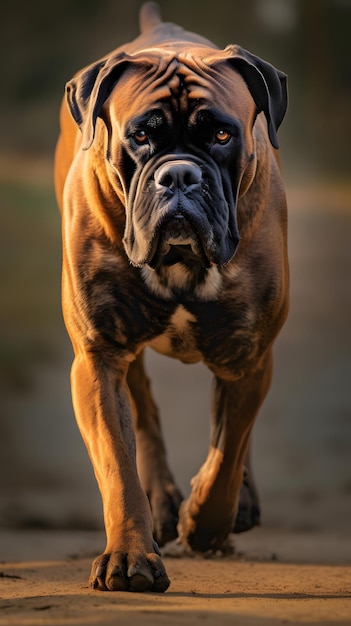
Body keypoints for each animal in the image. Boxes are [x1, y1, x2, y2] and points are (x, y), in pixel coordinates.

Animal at [55, 2, 290, 588]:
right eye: (141, 135)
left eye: (223, 136)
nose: (179, 174)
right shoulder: (98, 357)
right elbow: (118, 463)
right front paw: (130, 555)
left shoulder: (249, 355)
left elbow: (228, 451)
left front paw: (206, 521)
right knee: (144, 413)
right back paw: (161, 500)